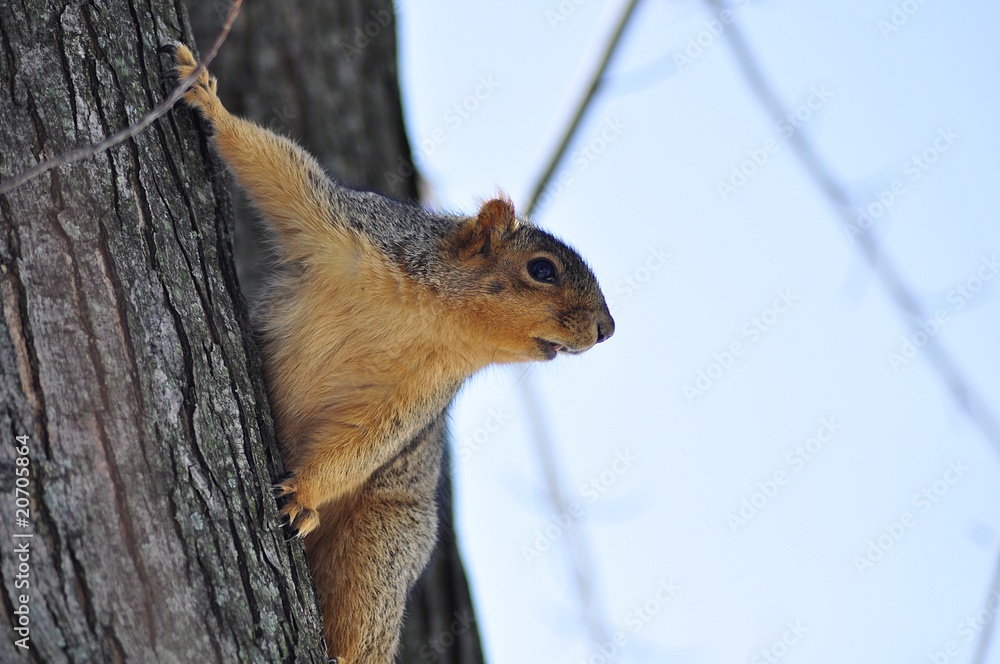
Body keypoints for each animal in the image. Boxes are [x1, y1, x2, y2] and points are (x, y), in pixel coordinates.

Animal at [160, 41, 614, 663]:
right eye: (541, 270)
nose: (607, 328)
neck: (435, 316)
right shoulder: (348, 231)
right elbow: (280, 169)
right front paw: (206, 96)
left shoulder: (418, 392)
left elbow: (369, 440)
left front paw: (303, 492)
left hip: (382, 543)